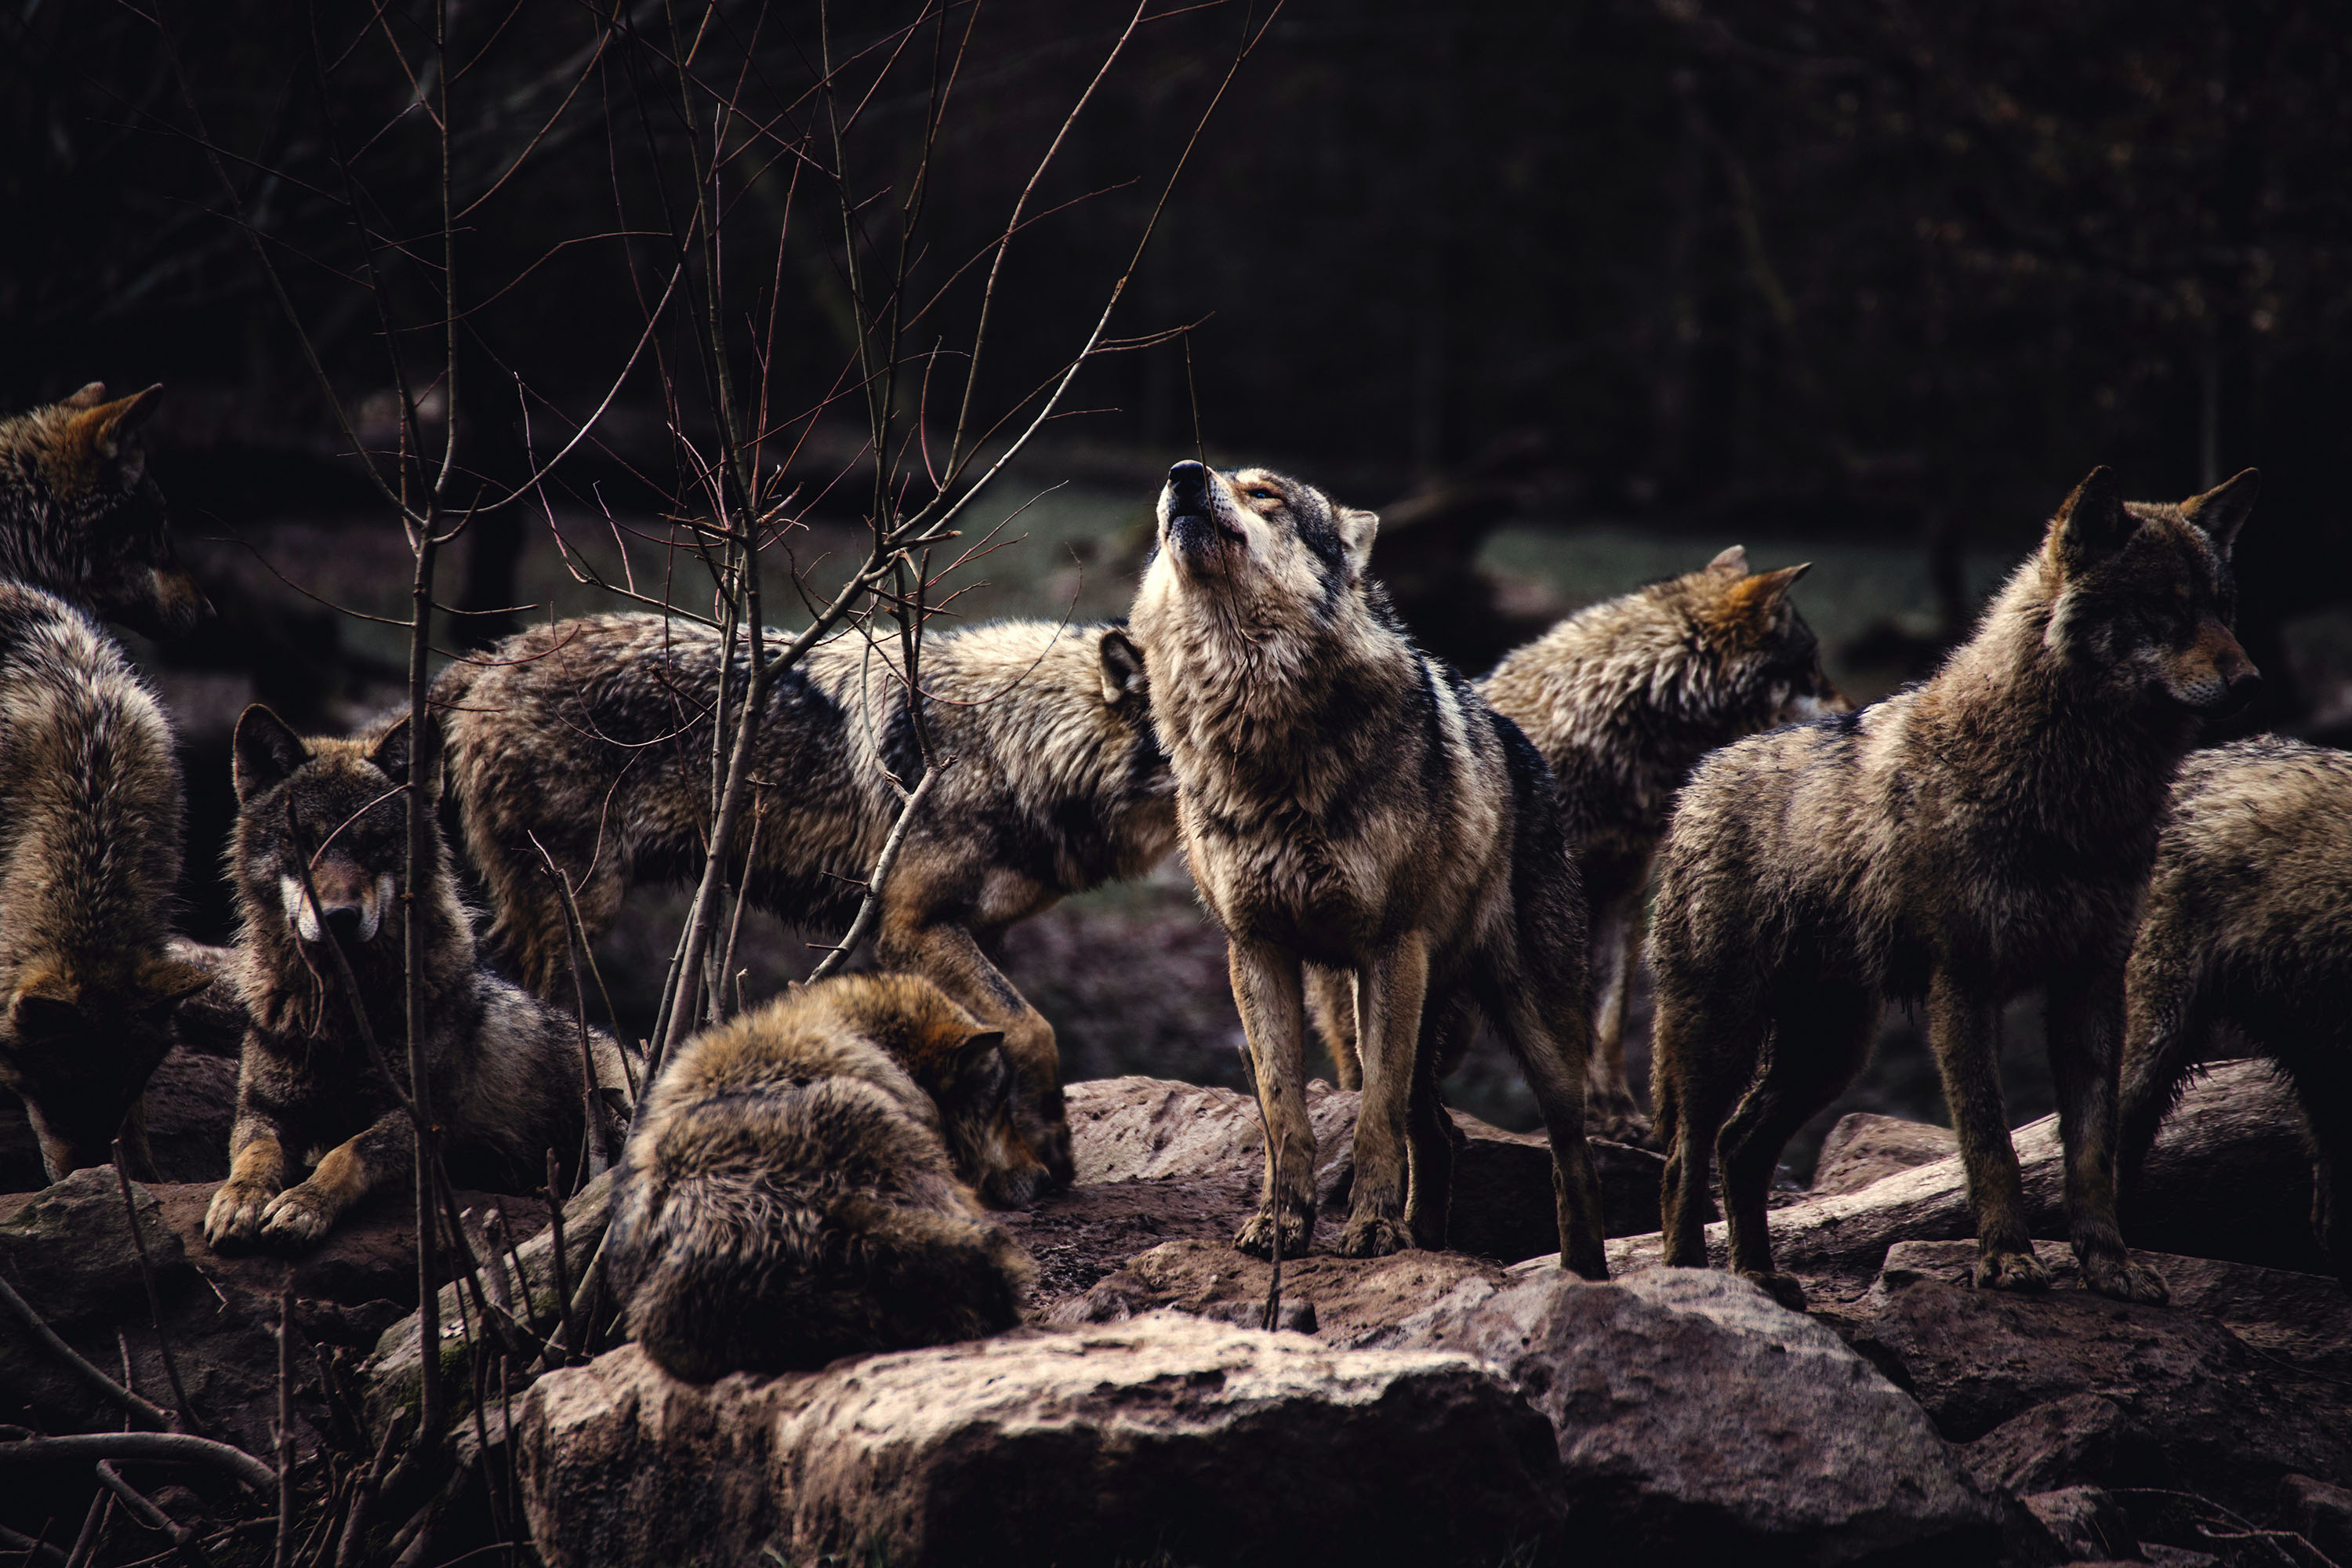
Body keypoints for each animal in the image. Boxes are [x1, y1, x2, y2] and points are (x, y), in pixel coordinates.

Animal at [203, 705, 635, 1250]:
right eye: (304, 841)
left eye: (376, 843)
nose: (339, 917)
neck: (344, 1014)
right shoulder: (263, 1110)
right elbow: (256, 1155)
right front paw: (238, 1200)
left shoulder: (420, 1120)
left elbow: (346, 1152)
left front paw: (304, 1204)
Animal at [434, 613, 1174, 1195]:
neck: (1013, 742)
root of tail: (490, 657)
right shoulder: (912, 927)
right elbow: (1033, 1028)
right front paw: (1051, 1150)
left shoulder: (980, 933)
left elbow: (999, 1041)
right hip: (579, 909)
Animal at [1129, 459, 1608, 1274]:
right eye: (1198, 476)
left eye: (1265, 494)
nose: (1184, 475)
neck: (1257, 720)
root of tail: (1525, 747)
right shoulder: (1256, 950)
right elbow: (1284, 1114)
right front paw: (1281, 1227)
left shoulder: (1389, 947)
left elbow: (1373, 1120)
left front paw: (1375, 1233)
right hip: (1368, 1010)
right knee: (1441, 1135)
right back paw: (1430, 1242)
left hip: (1528, 1026)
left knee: (1569, 1156)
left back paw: (1583, 1275)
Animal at [1316, 546, 1845, 1145]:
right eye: (1812, 668)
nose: (1853, 712)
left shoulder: (1622, 895)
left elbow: (1608, 1026)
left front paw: (1617, 1114)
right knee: (1361, 1069)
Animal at [1649, 467, 2259, 1310]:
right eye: (2164, 607)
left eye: (2223, 609)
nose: (2250, 681)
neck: (2071, 792)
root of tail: (1699, 777)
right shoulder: (1962, 986)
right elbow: (1990, 1142)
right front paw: (2007, 1260)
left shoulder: (2092, 985)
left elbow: (2092, 1154)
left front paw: (2110, 1266)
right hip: (1725, 1035)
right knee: (1687, 1155)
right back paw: (1693, 1281)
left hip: (1830, 1050)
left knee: (1740, 1145)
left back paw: (1760, 1279)